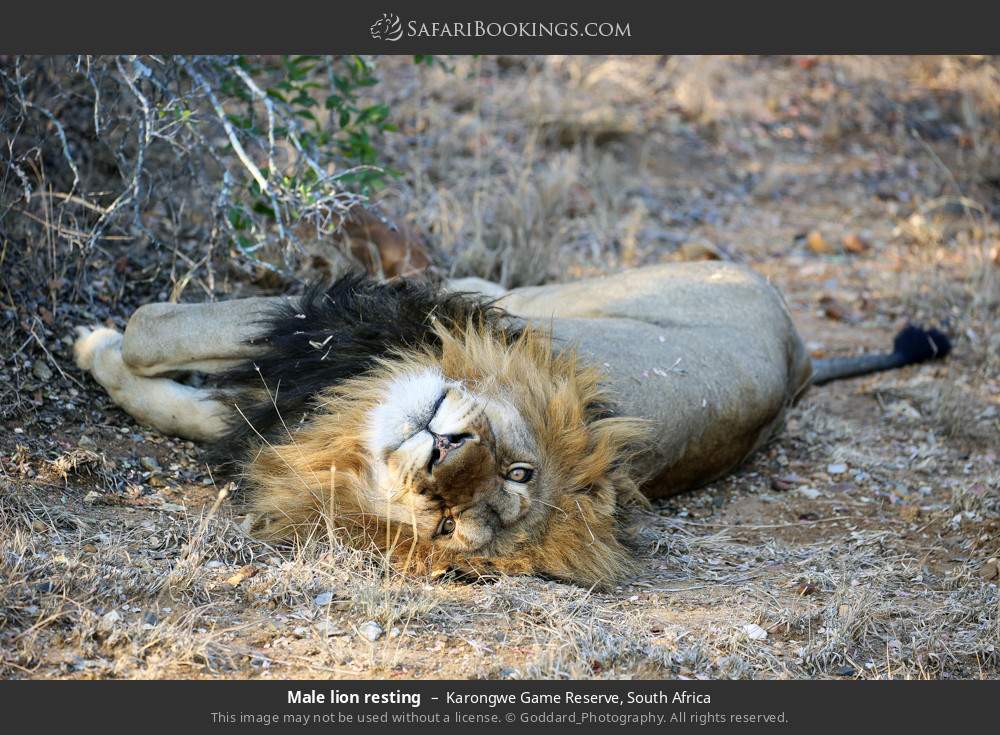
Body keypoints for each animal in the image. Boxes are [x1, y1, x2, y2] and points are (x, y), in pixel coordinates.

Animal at [73, 262, 950, 587]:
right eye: (520, 471)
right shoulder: (328, 346)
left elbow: (153, 330)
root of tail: (802, 359)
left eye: (449, 522)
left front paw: (94, 344)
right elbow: (179, 369)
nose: (441, 448)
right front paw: (106, 350)